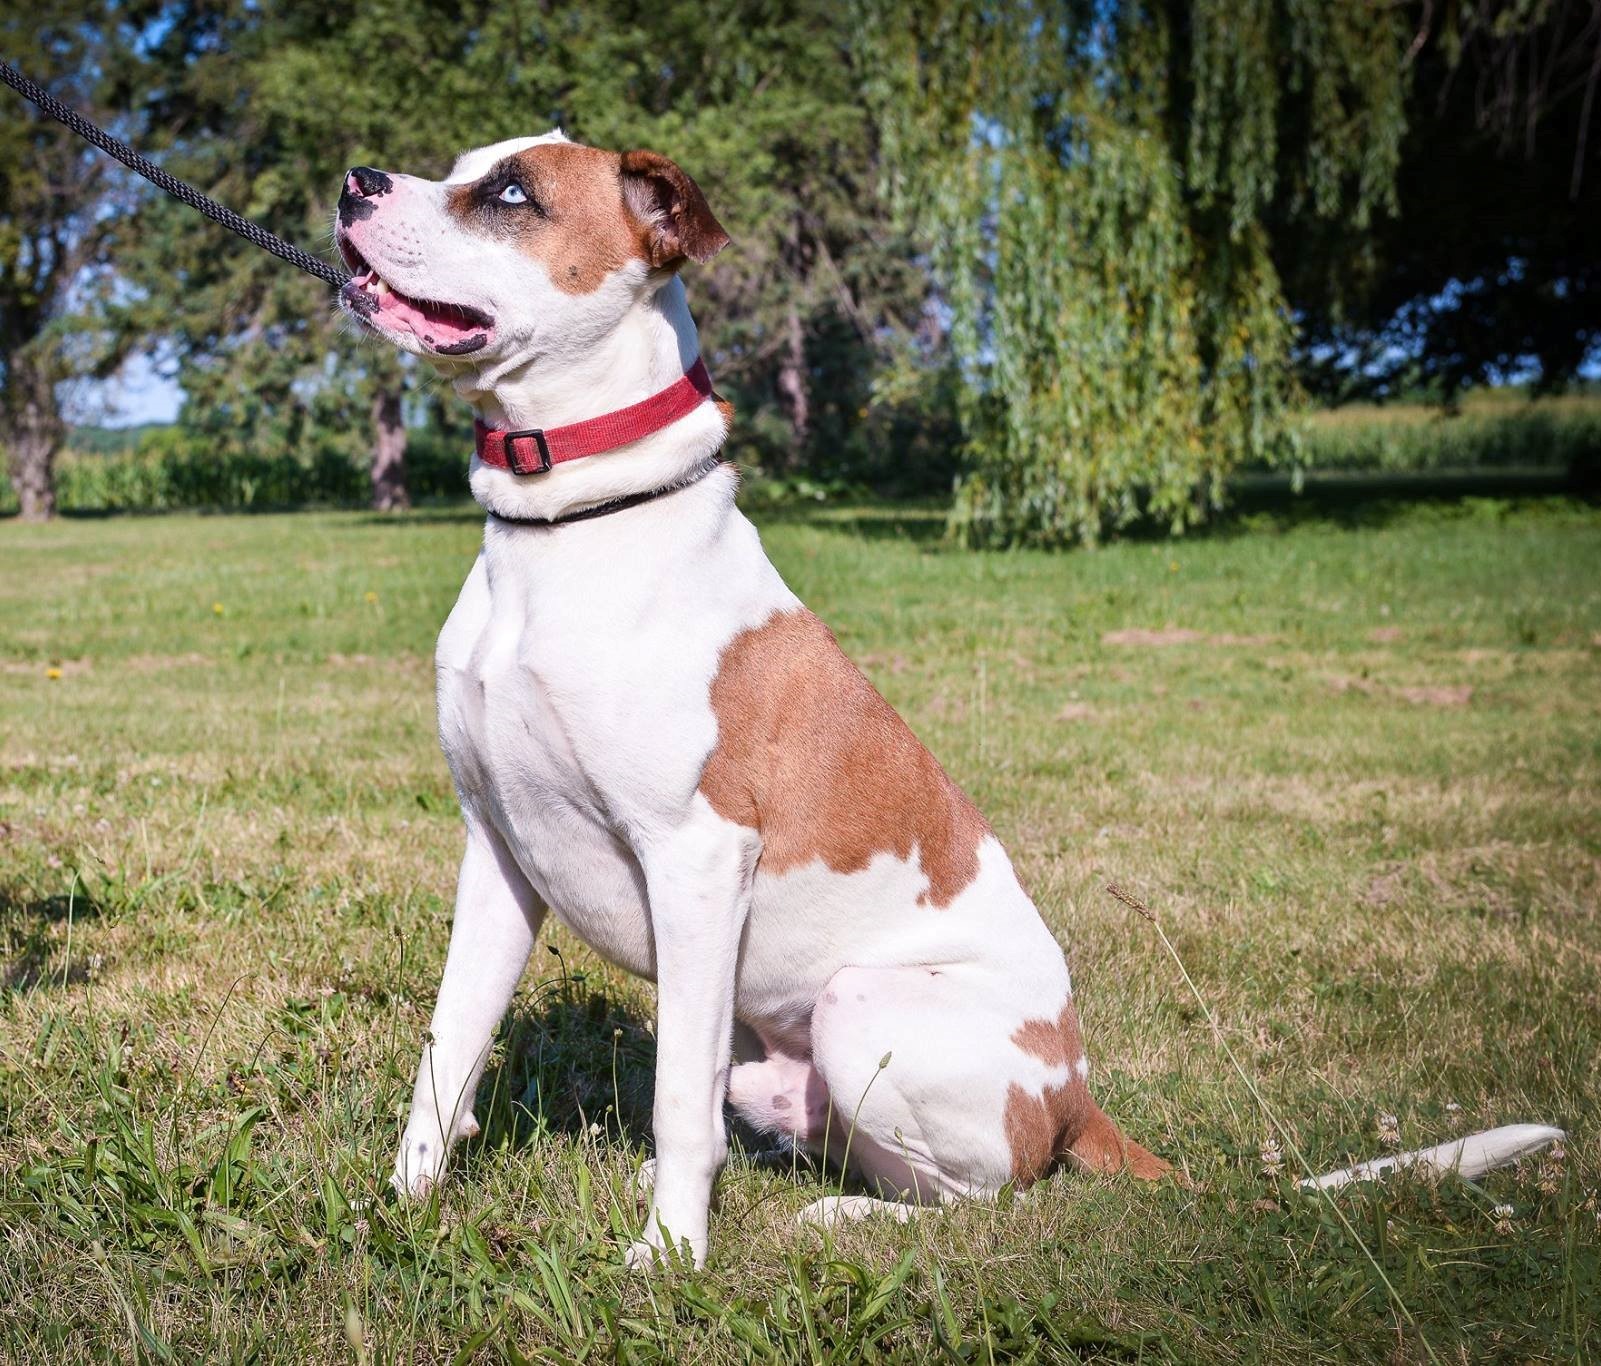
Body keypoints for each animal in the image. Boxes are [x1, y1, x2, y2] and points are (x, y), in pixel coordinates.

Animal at [334, 130, 1165, 1268]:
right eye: (460, 164)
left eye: (510, 193)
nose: (352, 183)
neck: (566, 525)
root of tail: (1078, 1097)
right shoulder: (497, 850)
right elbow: (448, 1045)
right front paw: (404, 1204)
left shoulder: (694, 857)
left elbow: (676, 1098)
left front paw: (668, 1258)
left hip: (859, 1007)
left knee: (982, 1200)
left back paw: (835, 1219)